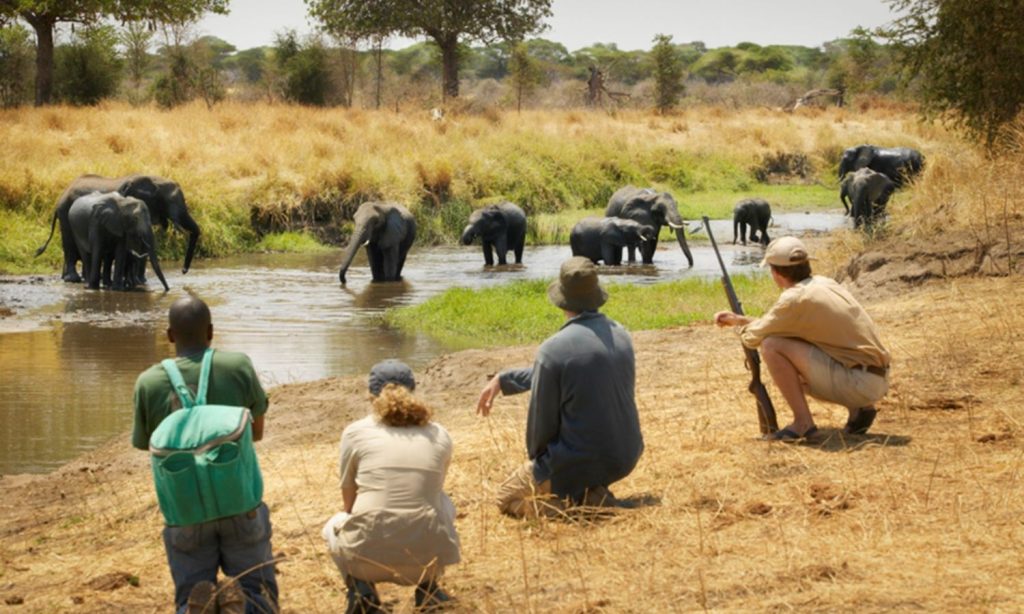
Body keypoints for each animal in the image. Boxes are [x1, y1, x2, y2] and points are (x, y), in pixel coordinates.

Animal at [37, 173, 199, 282]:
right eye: (170, 202)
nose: (183, 271)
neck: (156, 180)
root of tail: (61, 196)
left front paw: (141, 282)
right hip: (66, 214)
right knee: (70, 245)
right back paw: (73, 279)